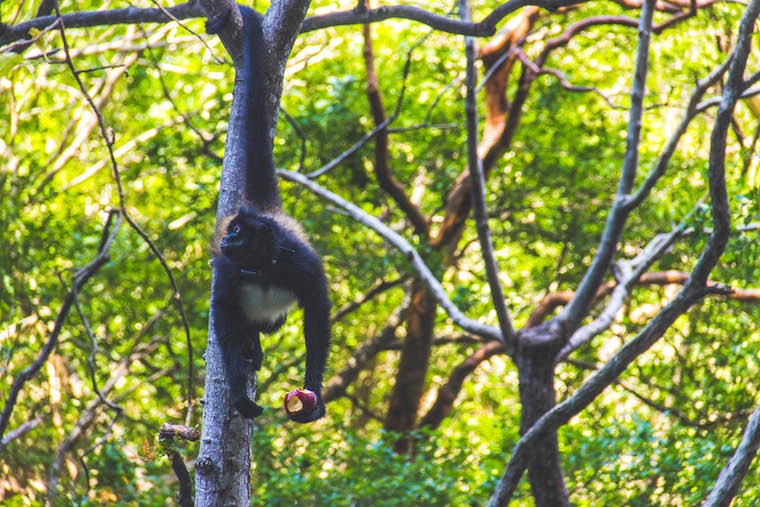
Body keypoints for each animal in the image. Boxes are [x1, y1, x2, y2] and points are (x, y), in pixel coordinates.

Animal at [208, 4, 330, 424]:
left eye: (239, 232)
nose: (228, 238)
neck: (262, 266)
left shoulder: (300, 262)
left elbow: (317, 314)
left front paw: (314, 392)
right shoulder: (228, 267)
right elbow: (223, 314)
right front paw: (237, 393)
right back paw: (251, 345)